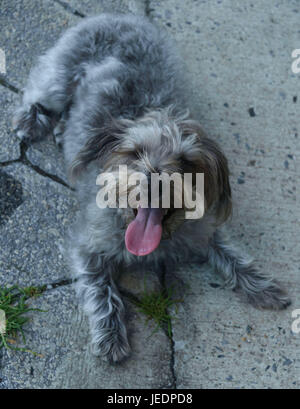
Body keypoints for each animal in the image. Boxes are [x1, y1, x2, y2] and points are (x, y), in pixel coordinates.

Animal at [14, 14, 290, 362]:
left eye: (186, 161)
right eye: (135, 152)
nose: (153, 179)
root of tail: (120, 17)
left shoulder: (203, 230)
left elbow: (232, 255)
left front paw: (263, 286)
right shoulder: (87, 246)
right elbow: (100, 290)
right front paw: (111, 335)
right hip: (58, 76)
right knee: (38, 92)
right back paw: (31, 121)